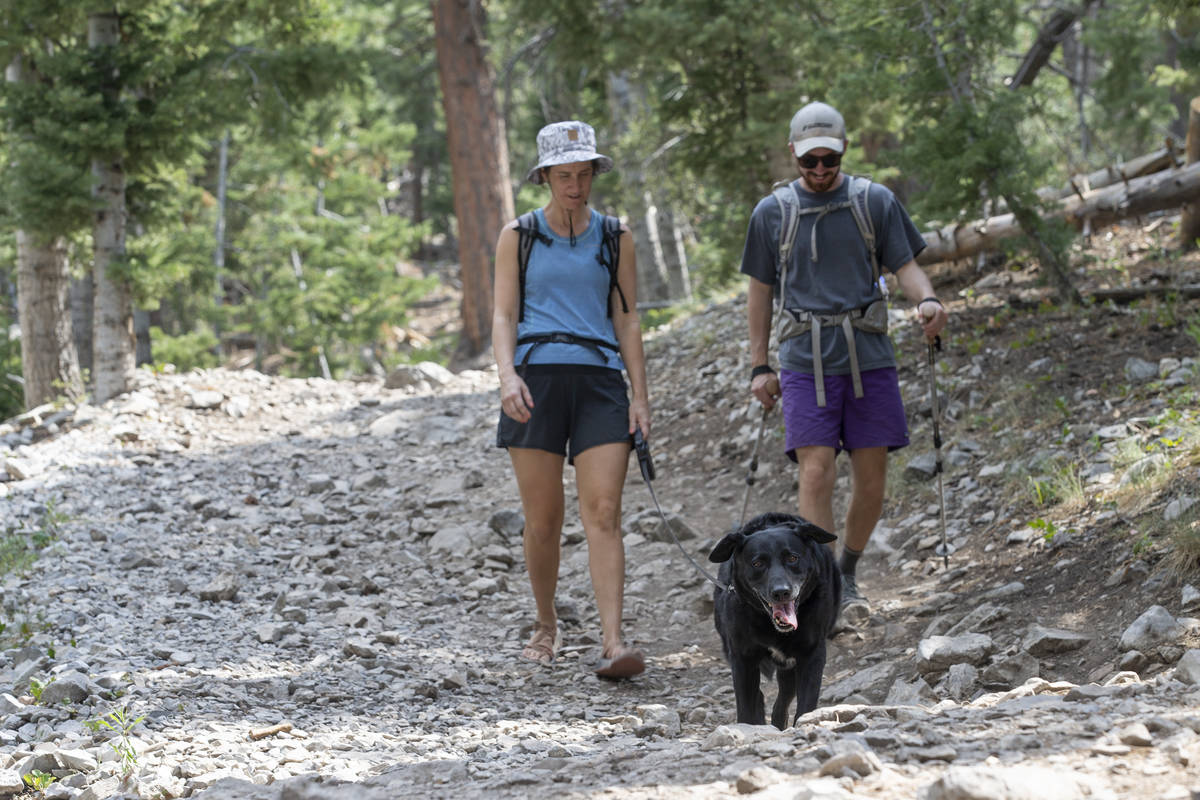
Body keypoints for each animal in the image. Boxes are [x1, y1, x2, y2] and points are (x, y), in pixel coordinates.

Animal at [705, 513, 840, 734]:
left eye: (792, 558)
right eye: (757, 563)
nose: (781, 592)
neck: (771, 627)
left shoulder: (812, 654)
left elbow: (806, 704)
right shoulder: (742, 658)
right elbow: (745, 708)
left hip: (789, 667)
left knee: (782, 700)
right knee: (759, 697)